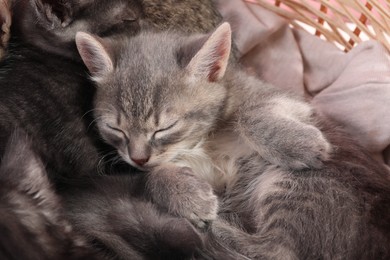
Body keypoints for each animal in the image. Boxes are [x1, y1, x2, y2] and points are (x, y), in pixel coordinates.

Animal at [75, 23, 390, 258]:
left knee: (276, 251)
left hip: (297, 184)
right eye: (116, 129)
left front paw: (298, 143)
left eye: (165, 127)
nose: (138, 157)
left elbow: (250, 114)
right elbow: (154, 174)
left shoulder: (289, 100)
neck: (199, 141)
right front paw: (186, 195)